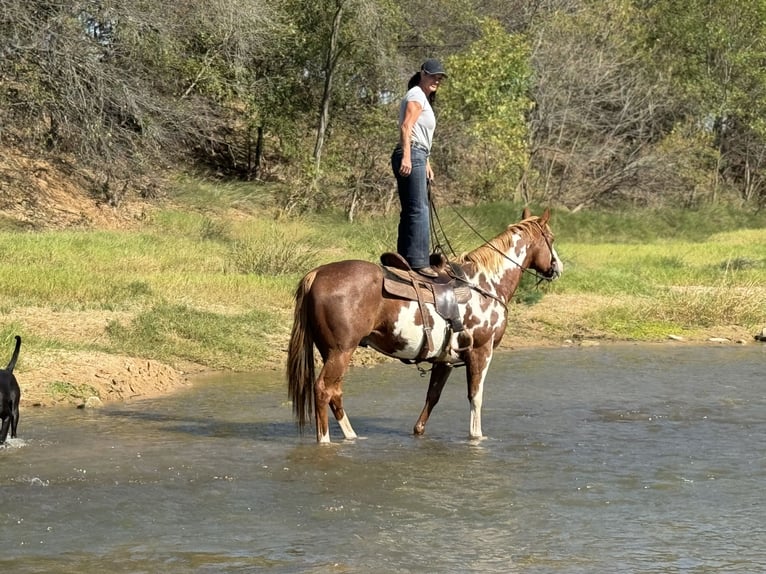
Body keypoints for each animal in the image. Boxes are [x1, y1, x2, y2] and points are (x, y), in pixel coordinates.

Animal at [288, 209, 564, 444]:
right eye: (551, 238)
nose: (558, 267)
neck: (486, 284)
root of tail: (317, 273)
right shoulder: (481, 352)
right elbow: (476, 397)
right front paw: (476, 437)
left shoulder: (445, 360)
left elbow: (433, 396)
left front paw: (419, 432)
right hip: (341, 351)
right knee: (324, 390)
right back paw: (325, 441)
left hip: (331, 352)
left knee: (336, 392)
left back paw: (352, 436)